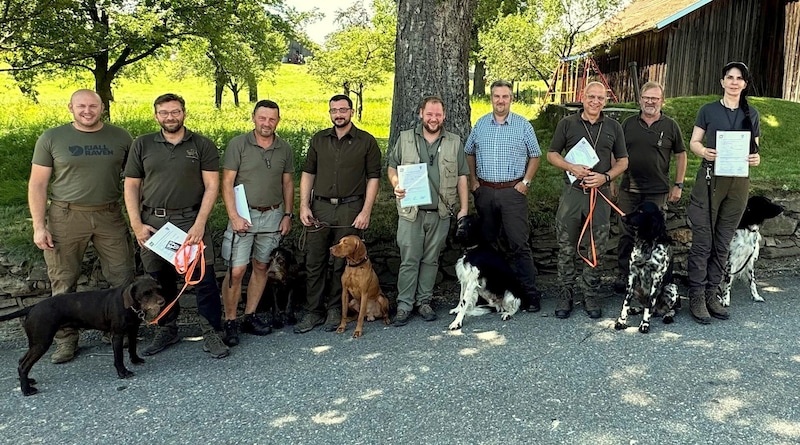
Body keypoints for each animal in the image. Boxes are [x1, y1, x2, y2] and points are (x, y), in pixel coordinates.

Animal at [0, 278, 165, 396]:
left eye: (159, 289)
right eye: (146, 292)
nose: (162, 301)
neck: (129, 305)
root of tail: (32, 307)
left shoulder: (132, 330)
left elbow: (132, 348)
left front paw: (136, 360)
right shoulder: (117, 335)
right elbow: (119, 357)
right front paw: (123, 373)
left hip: (36, 343)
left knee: (21, 361)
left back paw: (28, 381)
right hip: (41, 342)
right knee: (23, 365)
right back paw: (26, 390)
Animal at [616, 202, 680, 332]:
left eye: (641, 211)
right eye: (635, 208)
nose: (623, 217)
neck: (647, 242)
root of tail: (658, 310)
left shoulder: (656, 278)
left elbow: (649, 304)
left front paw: (645, 324)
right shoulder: (632, 274)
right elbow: (626, 301)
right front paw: (621, 320)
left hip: (671, 287)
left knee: (671, 309)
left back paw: (667, 316)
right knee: (643, 306)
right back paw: (635, 309)